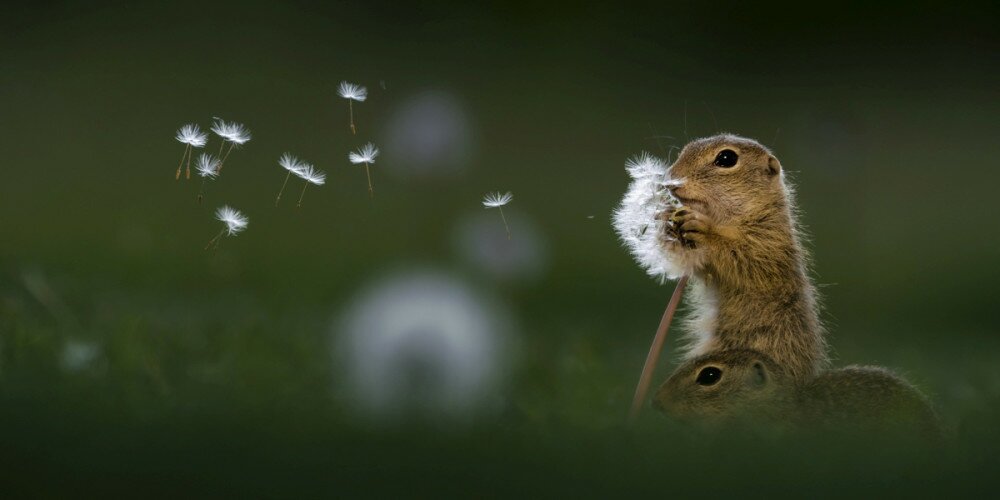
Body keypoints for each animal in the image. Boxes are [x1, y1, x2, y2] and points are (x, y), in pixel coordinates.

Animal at [656, 134, 828, 378]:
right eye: (686, 148)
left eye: (726, 158)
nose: (671, 178)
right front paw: (668, 216)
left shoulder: (767, 244)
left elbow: (741, 257)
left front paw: (703, 229)